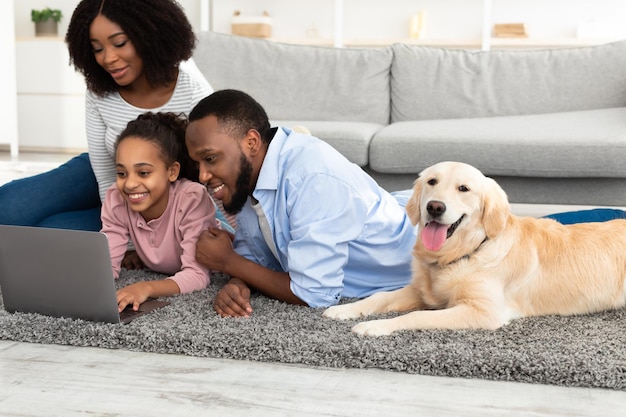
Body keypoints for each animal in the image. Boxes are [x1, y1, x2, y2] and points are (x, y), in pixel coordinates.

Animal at [322, 161, 624, 336]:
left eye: (464, 189)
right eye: (432, 182)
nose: (435, 207)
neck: (464, 253)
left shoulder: (484, 311)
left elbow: (417, 315)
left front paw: (375, 325)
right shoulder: (421, 291)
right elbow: (380, 296)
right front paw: (347, 310)